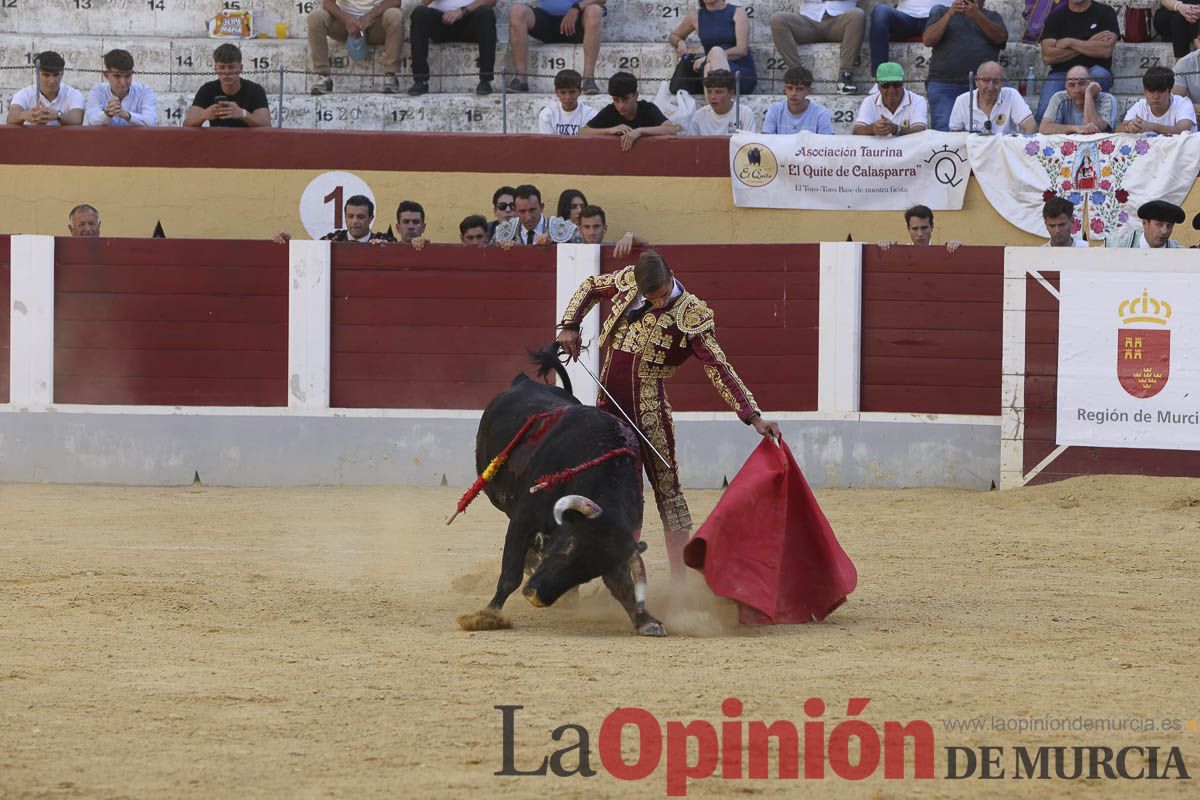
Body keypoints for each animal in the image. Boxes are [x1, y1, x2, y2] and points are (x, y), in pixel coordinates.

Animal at [463, 350, 667, 638]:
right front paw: (488, 615)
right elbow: (511, 572)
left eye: (588, 573)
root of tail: (523, 381)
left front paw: (646, 621)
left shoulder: (613, 549)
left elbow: (624, 586)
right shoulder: (525, 518)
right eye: (566, 547)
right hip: (496, 492)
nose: (536, 597)